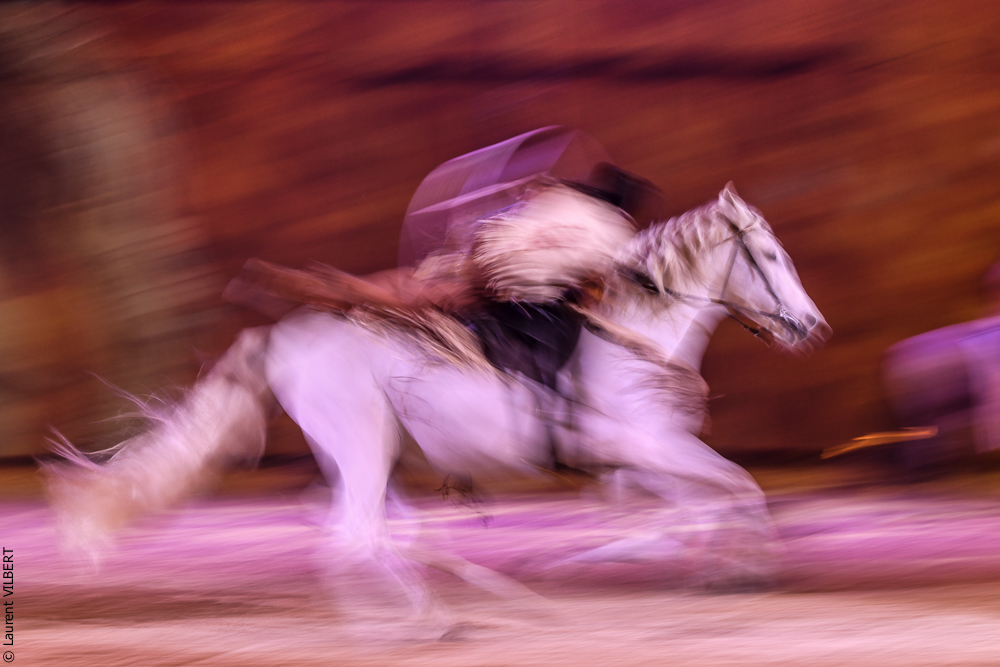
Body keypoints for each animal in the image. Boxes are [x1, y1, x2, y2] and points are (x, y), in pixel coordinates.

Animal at [46, 184, 827, 614]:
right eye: (771, 256)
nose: (812, 326)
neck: (633, 333)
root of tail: (284, 337)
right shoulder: (642, 444)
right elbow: (735, 486)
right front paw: (740, 567)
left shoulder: (645, 455)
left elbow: (707, 499)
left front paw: (710, 566)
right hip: (363, 441)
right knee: (354, 535)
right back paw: (427, 616)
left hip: (364, 449)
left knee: (364, 528)